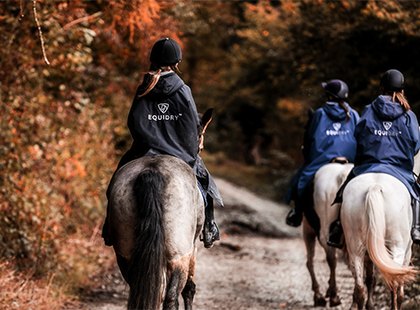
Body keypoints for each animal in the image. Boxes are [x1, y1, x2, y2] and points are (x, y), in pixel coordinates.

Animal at [340, 171, 418, 308]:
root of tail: (374, 187)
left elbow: (370, 278)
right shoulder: (407, 252)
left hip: (355, 249)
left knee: (360, 287)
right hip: (398, 248)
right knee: (394, 283)